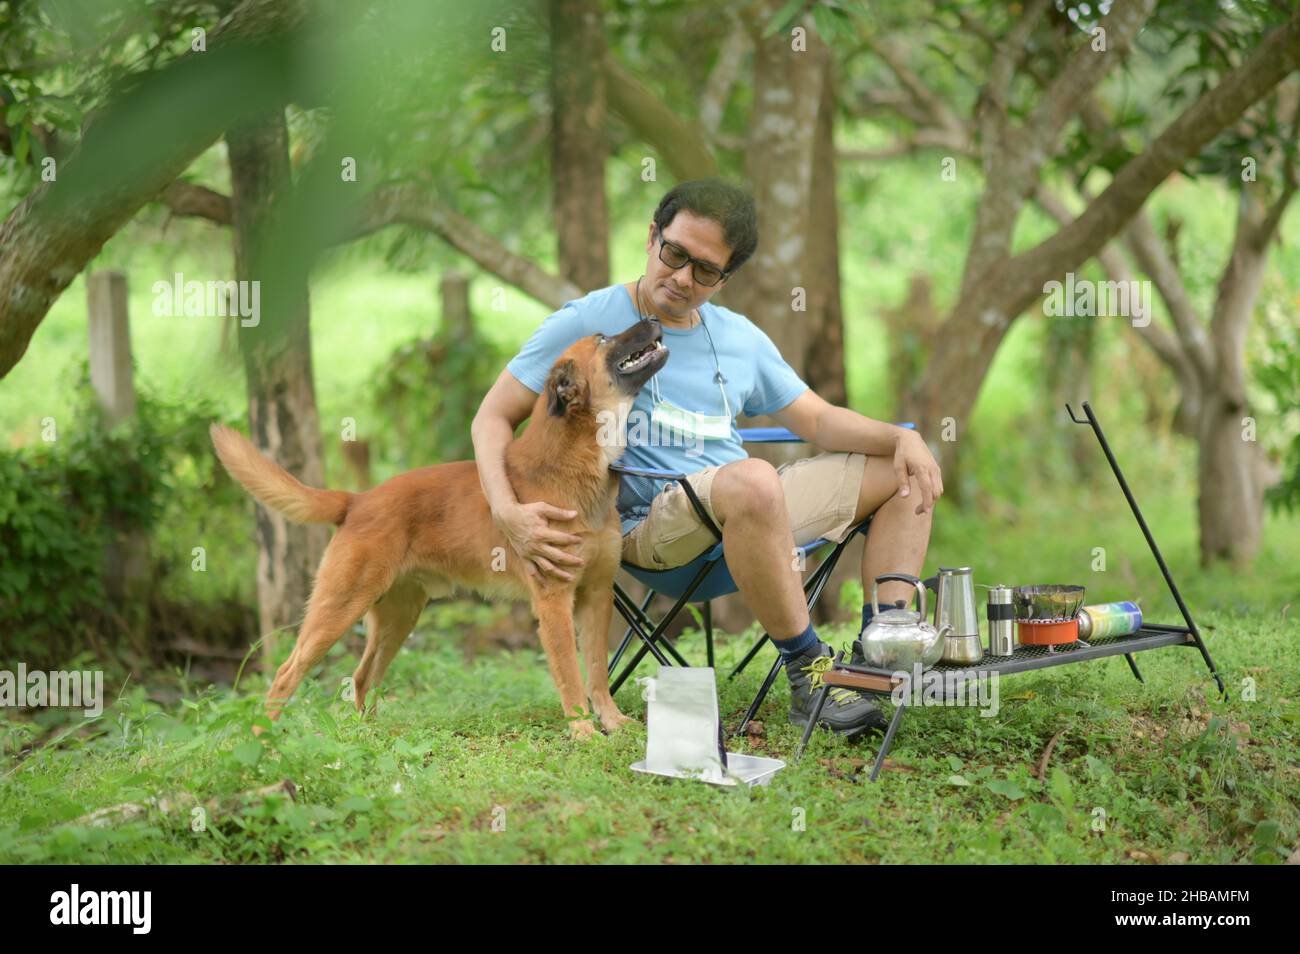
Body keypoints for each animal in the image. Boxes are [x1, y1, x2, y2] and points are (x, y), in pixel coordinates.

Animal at [210, 319, 670, 738]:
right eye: (603, 338)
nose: (654, 319)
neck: (573, 466)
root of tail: (357, 500)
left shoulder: (596, 595)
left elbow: (596, 672)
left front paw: (611, 722)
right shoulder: (555, 602)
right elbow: (573, 678)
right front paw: (584, 733)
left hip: (398, 616)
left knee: (362, 677)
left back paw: (366, 739)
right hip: (338, 609)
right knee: (286, 673)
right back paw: (262, 744)